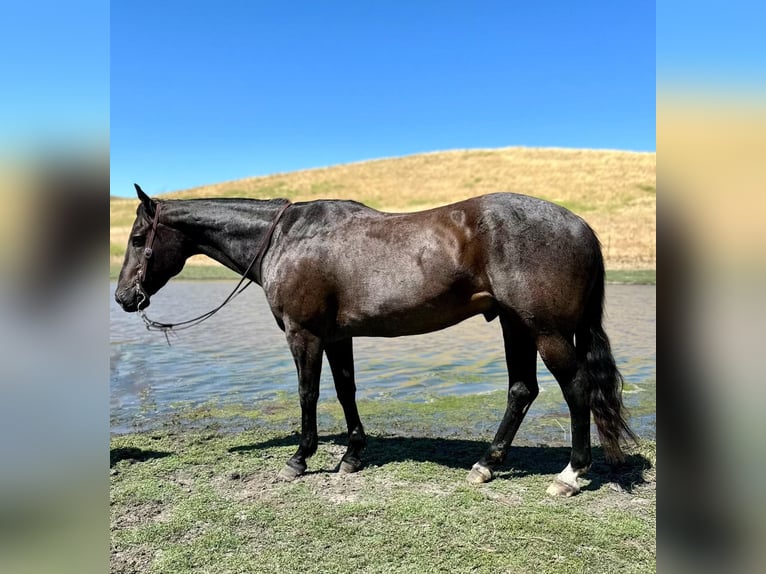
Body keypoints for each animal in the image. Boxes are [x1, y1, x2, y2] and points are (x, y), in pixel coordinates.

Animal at [115, 187, 636, 498]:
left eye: (139, 238)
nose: (123, 297)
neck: (288, 238)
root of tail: (579, 226)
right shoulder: (337, 336)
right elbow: (346, 391)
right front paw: (351, 455)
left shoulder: (304, 334)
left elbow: (308, 394)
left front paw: (299, 459)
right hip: (516, 326)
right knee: (522, 390)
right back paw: (487, 463)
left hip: (546, 332)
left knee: (576, 390)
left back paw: (571, 474)